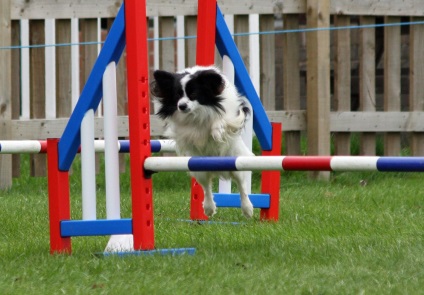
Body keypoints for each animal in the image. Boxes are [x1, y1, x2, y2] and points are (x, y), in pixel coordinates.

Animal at [151, 66, 253, 219]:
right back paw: (209, 208)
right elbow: (189, 132)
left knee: (242, 186)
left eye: (193, 93)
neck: (198, 112)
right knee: (206, 187)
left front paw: (216, 132)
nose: (181, 106)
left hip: (236, 162)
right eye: (177, 95)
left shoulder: (231, 115)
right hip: (199, 168)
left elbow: (221, 120)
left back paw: (247, 209)